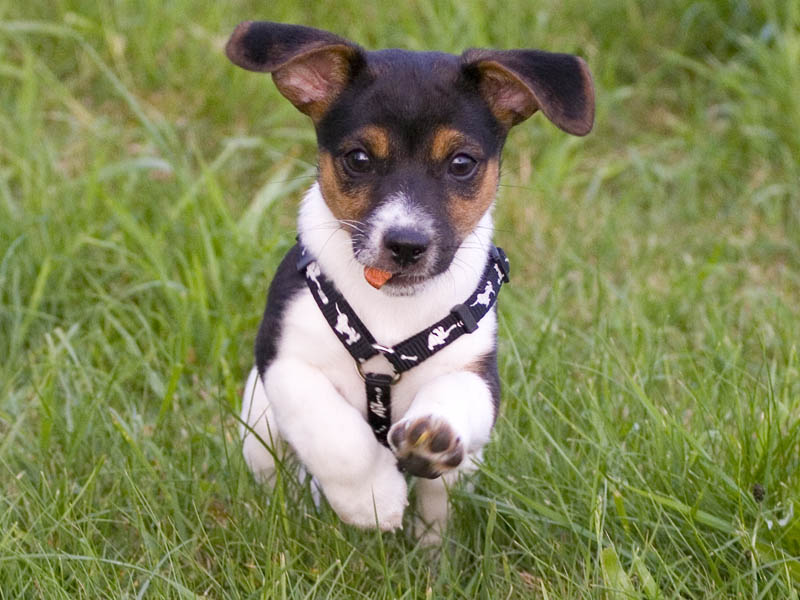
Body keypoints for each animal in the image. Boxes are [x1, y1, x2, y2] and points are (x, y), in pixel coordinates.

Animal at [227, 21, 592, 540]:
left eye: (461, 164)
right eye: (359, 159)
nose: (405, 243)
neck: (391, 308)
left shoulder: (478, 372)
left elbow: (453, 394)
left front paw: (431, 435)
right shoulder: (285, 361)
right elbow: (332, 432)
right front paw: (371, 499)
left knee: (438, 506)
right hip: (257, 422)